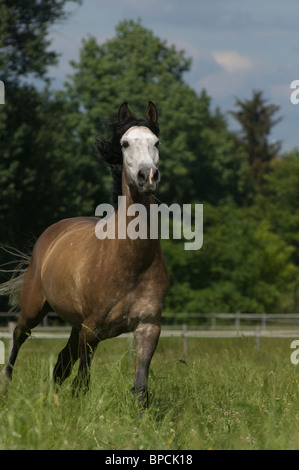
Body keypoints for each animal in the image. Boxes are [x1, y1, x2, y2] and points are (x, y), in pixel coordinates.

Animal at [0, 101, 170, 406]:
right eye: (125, 143)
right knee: (19, 338)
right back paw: (6, 390)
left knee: (60, 364)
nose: (148, 176)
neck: (130, 262)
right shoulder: (91, 331)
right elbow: (82, 382)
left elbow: (140, 388)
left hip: (75, 325)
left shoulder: (148, 328)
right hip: (34, 308)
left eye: (156, 142)